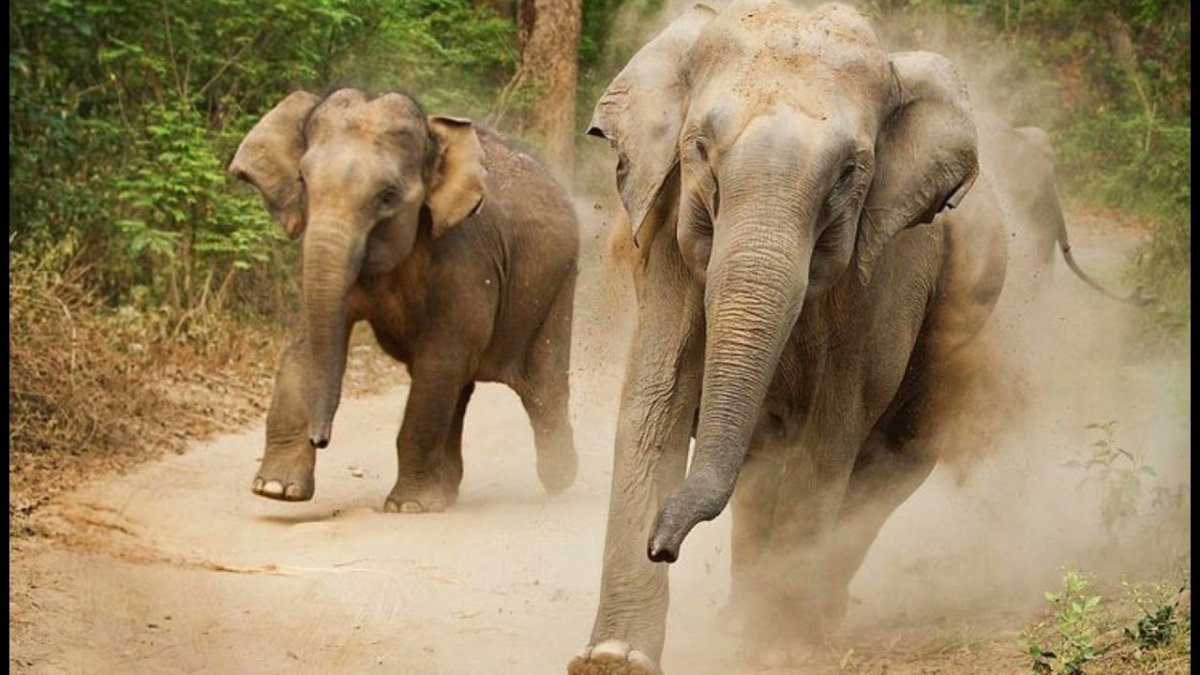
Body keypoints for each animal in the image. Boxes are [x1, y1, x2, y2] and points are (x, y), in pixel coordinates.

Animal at [229, 88, 580, 512]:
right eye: (304, 182)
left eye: (388, 196)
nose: (321, 438)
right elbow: (308, 344)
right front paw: (275, 490)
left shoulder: (465, 259)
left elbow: (441, 358)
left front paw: (407, 507)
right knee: (461, 388)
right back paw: (447, 492)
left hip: (559, 285)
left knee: (541, 387)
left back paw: (560, 479)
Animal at [568, 2, 1011, 672]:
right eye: (699, 148)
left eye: (850, 172)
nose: (662, 547)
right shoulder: (668, 227)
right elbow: (656, 403)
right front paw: (613, 660)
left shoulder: (879, 272)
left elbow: (831, 429)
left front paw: (776, 650)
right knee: (769, 459)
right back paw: (744, 616)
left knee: (891, 459)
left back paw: (810, 620)